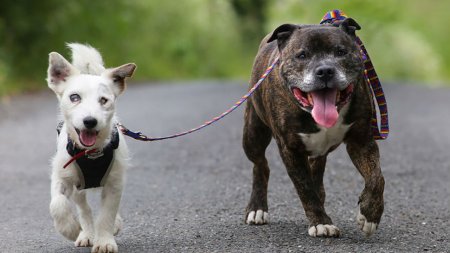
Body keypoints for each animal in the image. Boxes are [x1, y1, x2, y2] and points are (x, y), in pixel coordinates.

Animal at [48, 44, 135, 253]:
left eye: (104, 100)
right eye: (74, 97)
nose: (90, 121)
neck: (91, 153)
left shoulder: (114, 183)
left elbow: (107, 214)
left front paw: (104, 241)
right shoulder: (62, 176)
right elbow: (57, 204)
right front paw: (70, 229)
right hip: (78, 187)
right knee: (84, 208)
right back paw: (86, 233)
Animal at [243, 18, 384, 238]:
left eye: (341, 52)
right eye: (302, 55)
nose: (325, 70)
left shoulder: (362, 141)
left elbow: (377, 177)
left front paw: (369, 215)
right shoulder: (290, 149)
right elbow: (305, 188)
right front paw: (321, 223)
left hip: (317, 151)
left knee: (316, 172)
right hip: (253, 135)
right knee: (260, 165)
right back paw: (257, 208)